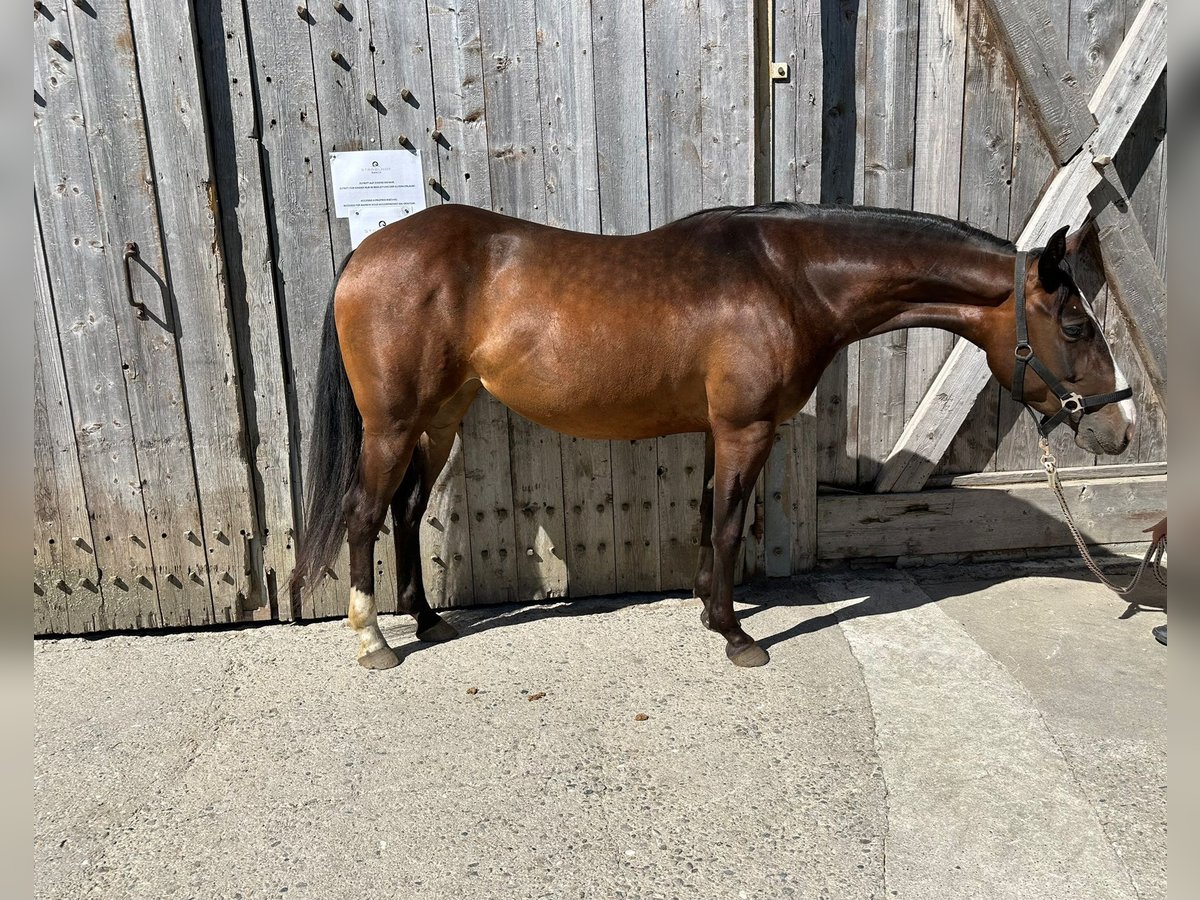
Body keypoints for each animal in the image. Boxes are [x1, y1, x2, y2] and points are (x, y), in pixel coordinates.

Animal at [289, 201, 1136, 670]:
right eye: (1074, 325)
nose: (1121, 426)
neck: (790, 278)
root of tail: (368, 251)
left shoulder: (714, 431)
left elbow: (704, 518)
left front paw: (706, 611)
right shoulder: (745, 429)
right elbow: (729, 527)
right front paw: (735, 634)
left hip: (441, 416)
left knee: (404, 512)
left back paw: (428, 620)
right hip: (393, 424)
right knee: (365, 515)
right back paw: (375, 642)